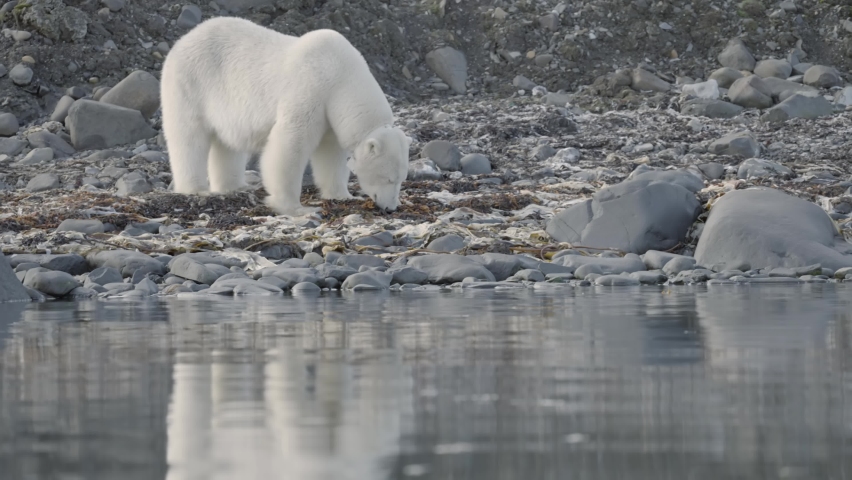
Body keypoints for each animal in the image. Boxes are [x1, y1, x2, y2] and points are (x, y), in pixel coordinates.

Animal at [160, 17, 412, 216]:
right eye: (389, 178)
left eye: (402, 179)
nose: (391, 208)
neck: (341, 76)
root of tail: (185, 38)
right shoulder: (310, 89)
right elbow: (290, 145)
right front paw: (294, 207)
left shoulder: (330, 113)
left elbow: (330, 153)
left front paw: (343, 195)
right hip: (191, 82)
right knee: (188, 137)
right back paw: (195, 188)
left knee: (227, 144)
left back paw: (235, 186)